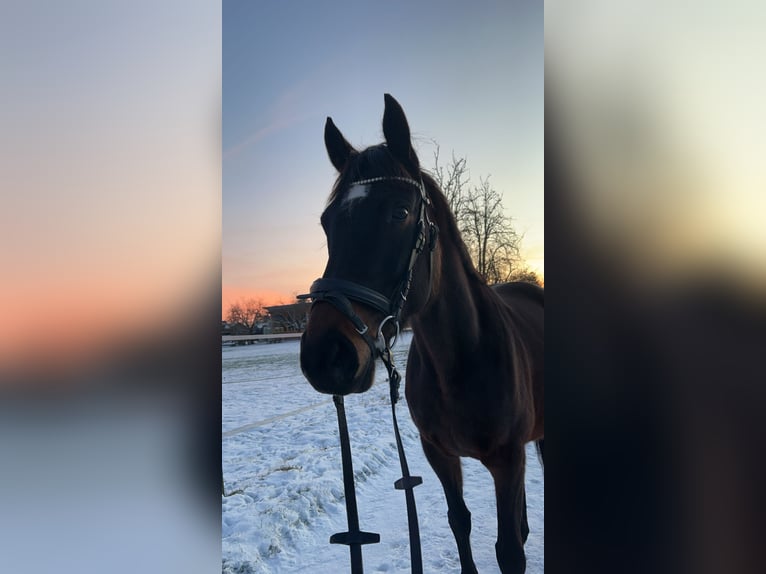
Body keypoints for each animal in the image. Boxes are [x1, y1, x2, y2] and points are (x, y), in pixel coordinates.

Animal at [300, 94, 544, 574]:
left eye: (400, 212)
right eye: (326, 222)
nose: (325, 355)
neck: (461, 362)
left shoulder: (508, 460)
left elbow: (510, 550)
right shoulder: (440, 455)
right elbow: (460, 523)